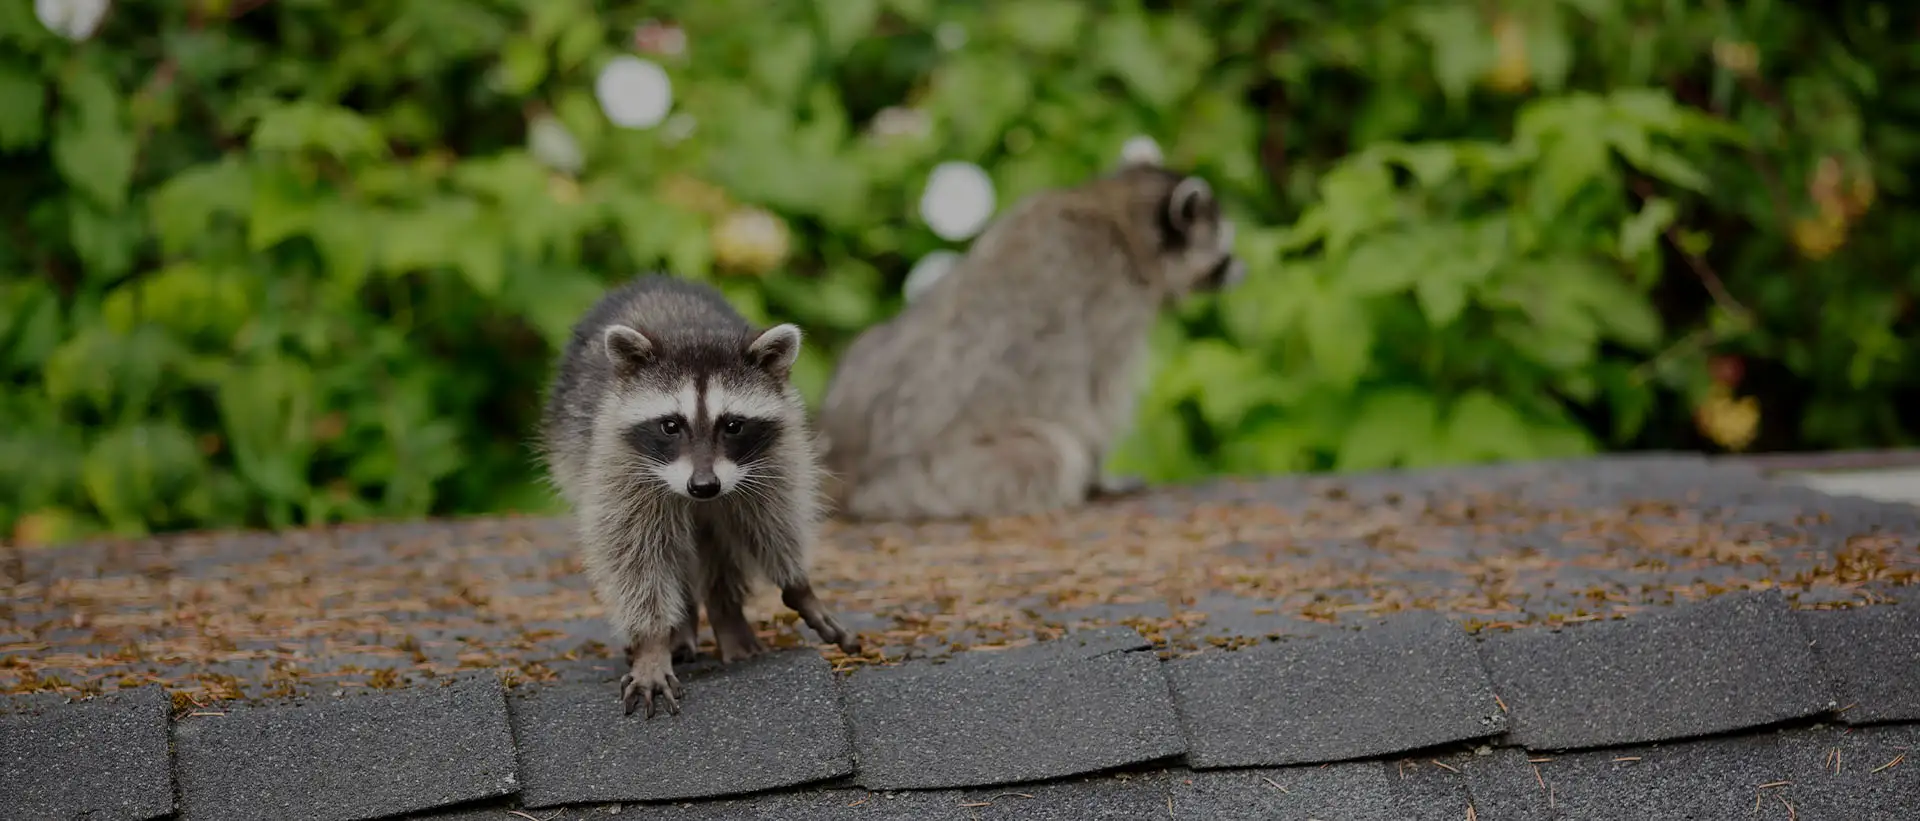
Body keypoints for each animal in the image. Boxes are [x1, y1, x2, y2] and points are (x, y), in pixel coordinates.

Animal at [539, 275, 861, 717]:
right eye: (671, 425)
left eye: (734, 425)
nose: (704, 486)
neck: (692, 332)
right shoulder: (617, 464)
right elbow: (632, 554)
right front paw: (653, 643)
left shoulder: (774, 460)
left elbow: (774, 522)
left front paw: (799, 586)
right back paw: (682, 627)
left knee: (718, 545)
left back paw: (727, 618)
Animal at [816, 156, 1246, 521]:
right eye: (1224, 252)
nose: (1243, 269)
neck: (1113, 208)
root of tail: (849, 469)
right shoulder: (1113, 302)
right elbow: (1098, 400)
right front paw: (1100, 476)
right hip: (931, 479)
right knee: (1053, 454)